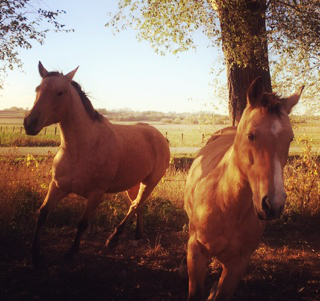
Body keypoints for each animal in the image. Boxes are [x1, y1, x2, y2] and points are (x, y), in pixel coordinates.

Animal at [184, 78, 304, 300]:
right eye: (251, 135)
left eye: (290, 138)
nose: (273, 203)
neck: (227, 204)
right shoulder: (196, 252)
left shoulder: (237, 265)